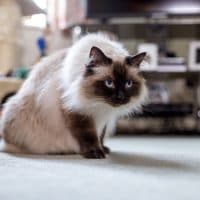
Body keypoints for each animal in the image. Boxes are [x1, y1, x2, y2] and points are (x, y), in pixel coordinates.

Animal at [0, 33, 147, 159]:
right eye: (109, 83)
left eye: (128, 84)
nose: (120, 97)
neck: (100, 105)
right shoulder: (78, 111)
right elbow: (88, 135)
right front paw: (95, 153)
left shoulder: (104, 118)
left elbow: (100, 136)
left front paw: (103, 149)